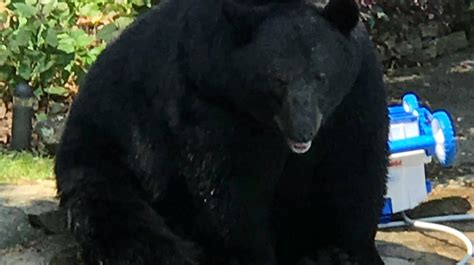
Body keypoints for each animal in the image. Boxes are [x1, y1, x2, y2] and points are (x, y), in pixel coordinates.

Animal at [54, 0, 388, 262]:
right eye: (277, 79)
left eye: (321, 76)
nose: (303, 131)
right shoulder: (212, 97)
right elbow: (230, 183)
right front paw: (250, 253)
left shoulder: (355, 94)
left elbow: (356, 167)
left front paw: (346, 250)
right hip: (107, 150)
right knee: (118, 215)